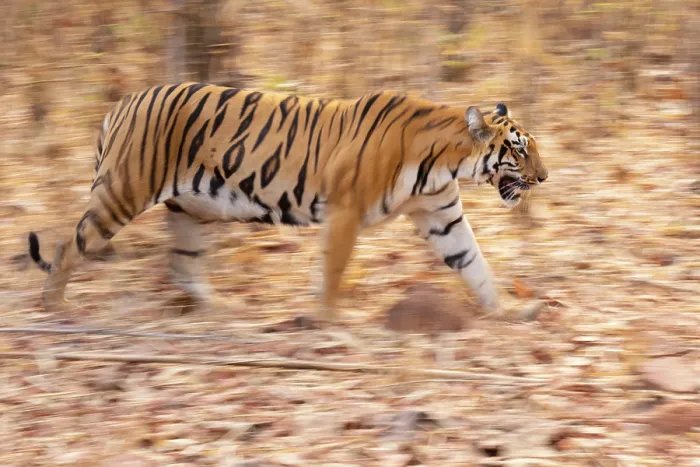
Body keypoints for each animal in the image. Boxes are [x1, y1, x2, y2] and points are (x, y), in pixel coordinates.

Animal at [27, 83, 548, 322]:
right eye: (519, 150)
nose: (544, 177)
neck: (445, 162)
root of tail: (120, 104)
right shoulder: (344, 210)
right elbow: (333, 268)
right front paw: (332, 319)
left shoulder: (442, 216)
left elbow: (475, 264)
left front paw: (508, 310)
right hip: (122, 193)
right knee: (68, 246)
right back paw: (55, 305)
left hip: (192, 210)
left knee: (183, 265)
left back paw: (220, 311)